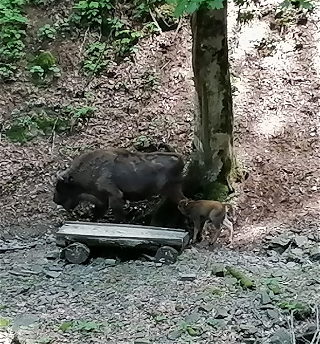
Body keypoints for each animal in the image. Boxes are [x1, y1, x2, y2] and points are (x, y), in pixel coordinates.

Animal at [53, 146, 186, 222]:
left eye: (60, 186)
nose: (55, 200)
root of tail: (180, 158)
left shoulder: (114, 195)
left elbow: (117, 214)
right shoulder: (102, 199)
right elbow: (98, 212)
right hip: (174, 189)